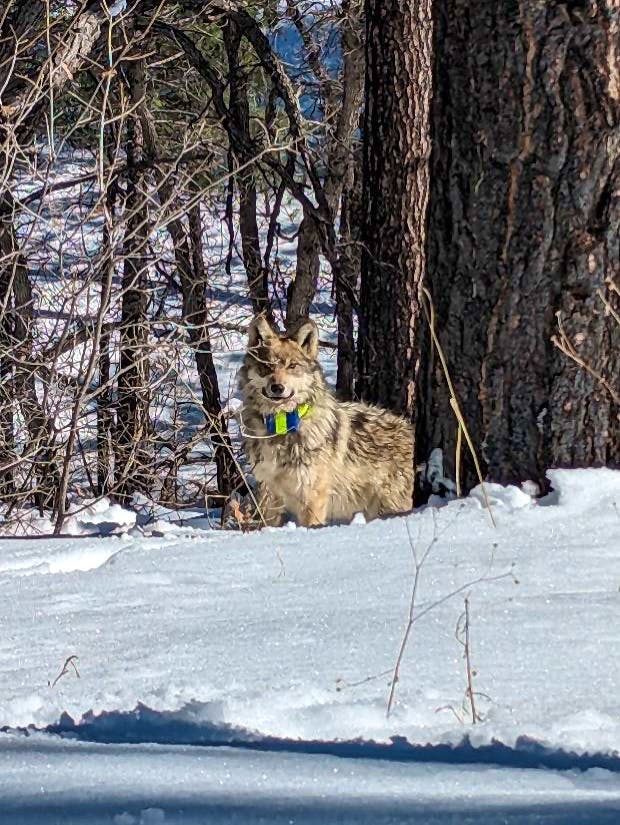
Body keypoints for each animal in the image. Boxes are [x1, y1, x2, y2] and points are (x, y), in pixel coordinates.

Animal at [237, 315, 414, 527]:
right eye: (266, 366)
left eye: (292, 366)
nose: (277, 387)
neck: (281, 427)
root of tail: (407, 428)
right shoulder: (268, 494)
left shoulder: (311, 498)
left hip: (388, 507)